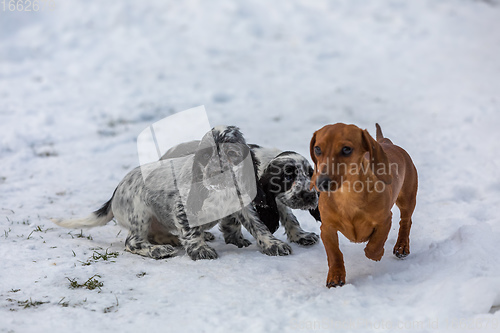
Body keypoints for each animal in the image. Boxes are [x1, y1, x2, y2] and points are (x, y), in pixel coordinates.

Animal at [52, 126, 292, 258]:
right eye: (206, 156)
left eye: (232, 153)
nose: (217, 173)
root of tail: (114, 194)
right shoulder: (182, 207)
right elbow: (190, 232)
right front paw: (199, 250)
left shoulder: (242, 205)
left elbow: (258, 226)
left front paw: (274, 244)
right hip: (140, 212)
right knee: (133, 242)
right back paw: (159, 250)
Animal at [308, 123, 418, 286]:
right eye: (317, 149)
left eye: (346, 149)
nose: (322, 182)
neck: (347, 195)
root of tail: (386, 142)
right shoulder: (327, 228)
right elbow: (334, 253)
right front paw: (336, 275)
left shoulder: (385, 220)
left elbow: (375, 243)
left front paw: (376, 253)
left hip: (407, 200)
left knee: (406, 221)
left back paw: (401, 246)